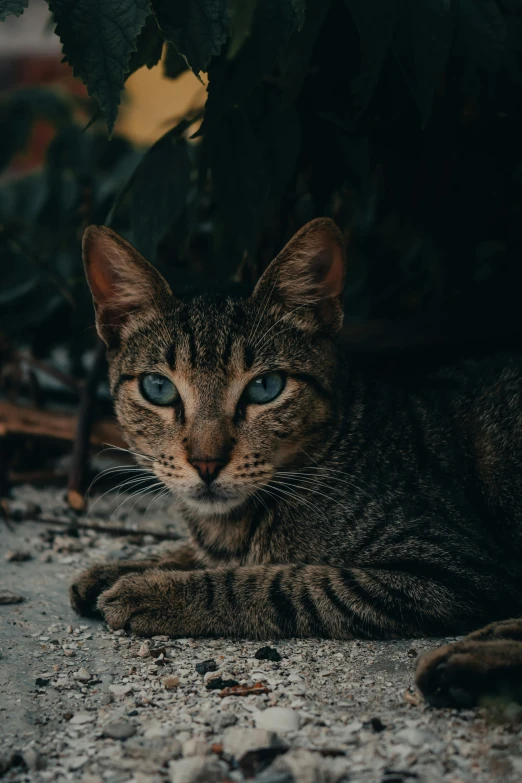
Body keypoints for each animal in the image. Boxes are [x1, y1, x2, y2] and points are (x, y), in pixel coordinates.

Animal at [69, 217, 520, 708]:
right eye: (158, 388)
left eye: (265, 387)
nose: (207, 462)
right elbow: (196, 555)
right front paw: (123, 568)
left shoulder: (449, 568)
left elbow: (283, 581)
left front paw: (155, 589)